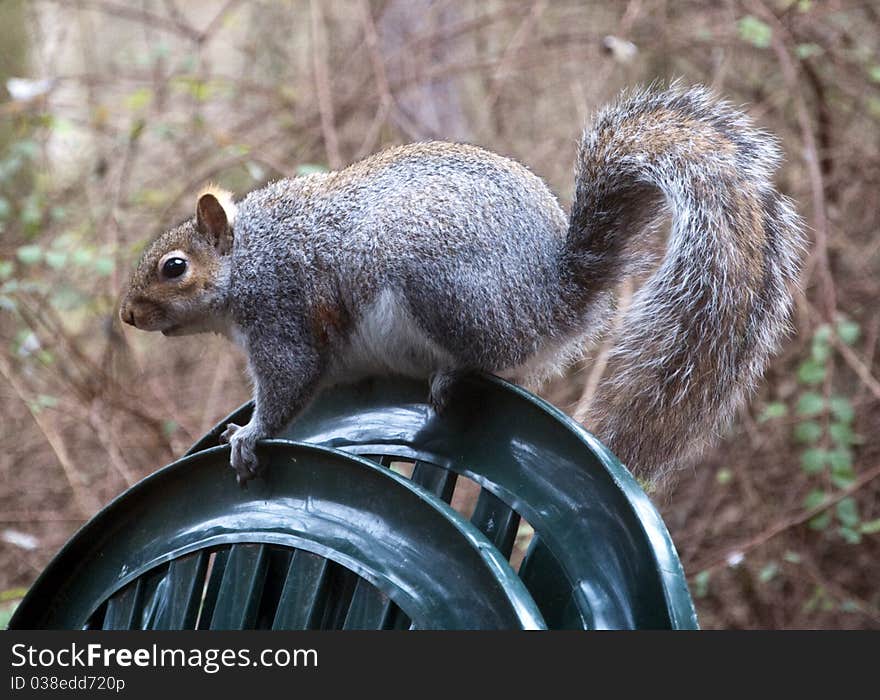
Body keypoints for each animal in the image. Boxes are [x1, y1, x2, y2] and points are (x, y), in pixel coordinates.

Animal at [118, 85, 804, 490]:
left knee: (492, 355)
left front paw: (249, 436)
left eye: (174, 267)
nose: (127, 315)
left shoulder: (280, 309)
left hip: (440, 285)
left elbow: (289, 380)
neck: (249, 257)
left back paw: (455, 374)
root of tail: (553, 297)